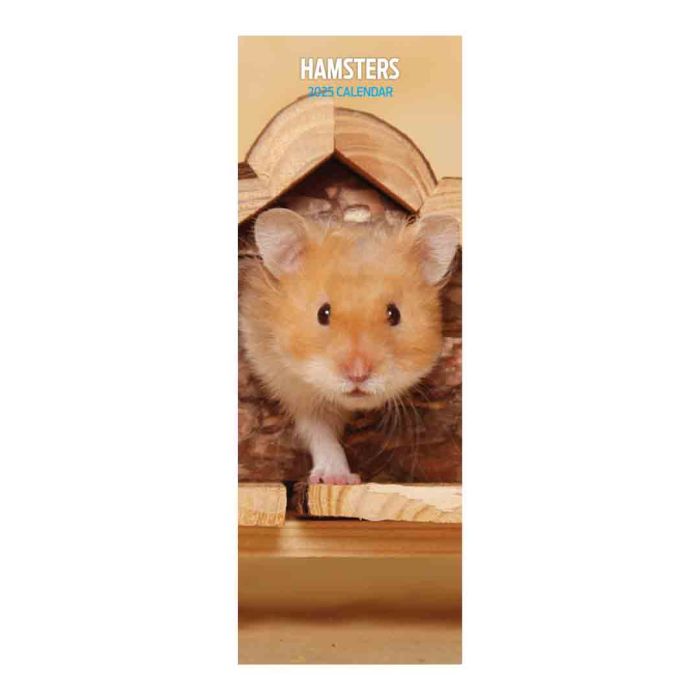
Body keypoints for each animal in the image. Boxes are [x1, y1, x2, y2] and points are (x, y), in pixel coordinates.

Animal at [240, 208, 459, 484]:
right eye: (323, 313)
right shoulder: (290, 385)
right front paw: (337, 479)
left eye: (394, 314)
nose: (358, 375)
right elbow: (320, 432)